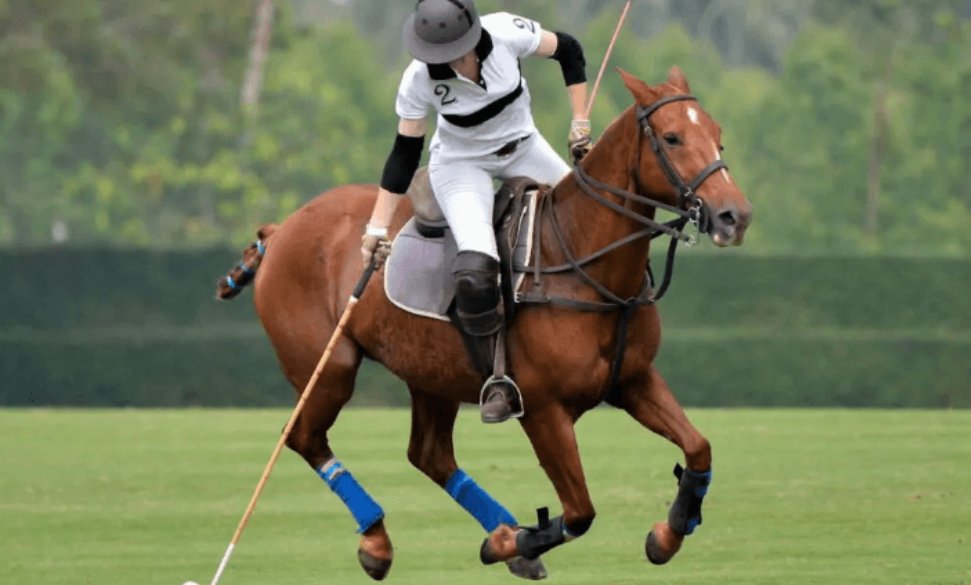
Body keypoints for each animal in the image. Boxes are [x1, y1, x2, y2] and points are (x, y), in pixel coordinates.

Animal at [216, 67, 752, 581]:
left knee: (428, 454)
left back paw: (495, 531)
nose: (735, 216)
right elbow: (579, 512)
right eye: (672, 137)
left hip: (428, 373)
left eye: (719, 136)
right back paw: (379, 540)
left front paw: (669, 531)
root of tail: (281, 229)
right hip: (327, 366)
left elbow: (699, 448)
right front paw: (511, 542)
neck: (582, 262)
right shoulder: (543, 409)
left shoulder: (634, 380)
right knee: (304, 438)